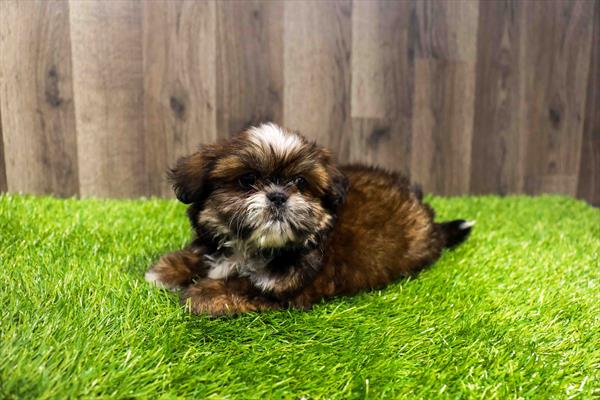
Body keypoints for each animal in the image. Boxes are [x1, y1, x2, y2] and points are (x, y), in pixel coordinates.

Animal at [146, 123, 474, 318]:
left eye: (300, 182)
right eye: (247, 180)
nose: (278, 196)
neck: (250, 248)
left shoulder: (285, 288)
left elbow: (242, 286)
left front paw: (201, 292)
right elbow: (202, 253)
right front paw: (168, 269)